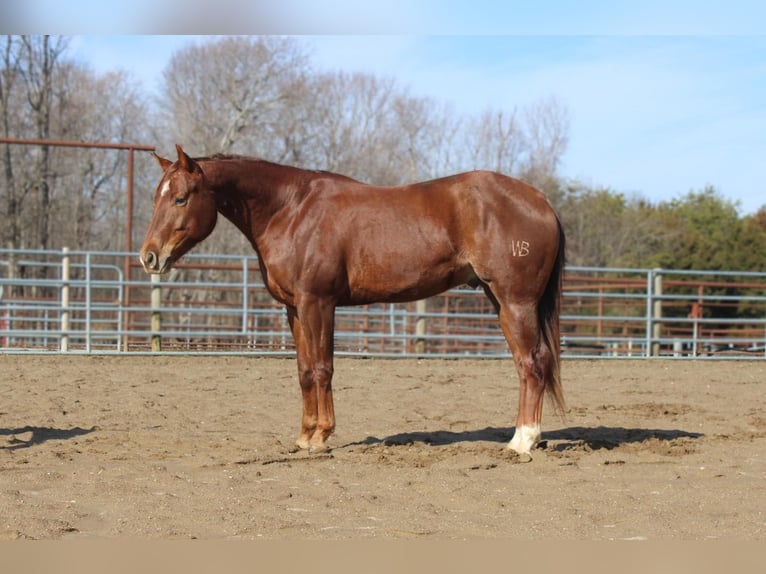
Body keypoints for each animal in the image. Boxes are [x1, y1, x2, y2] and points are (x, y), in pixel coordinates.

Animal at [141, 145, 568, 460]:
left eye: (180, 198)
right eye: (155, 199)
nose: (149, 257)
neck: (291, 209)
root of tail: (540, 200)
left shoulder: (318, 303)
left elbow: (322, 369)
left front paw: (320, 437)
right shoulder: (294, 309)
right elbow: (303, 371)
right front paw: (304, 436)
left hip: (516, 302)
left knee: (532, 364)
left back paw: (522, 441)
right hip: (500, 302)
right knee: (529, 363)